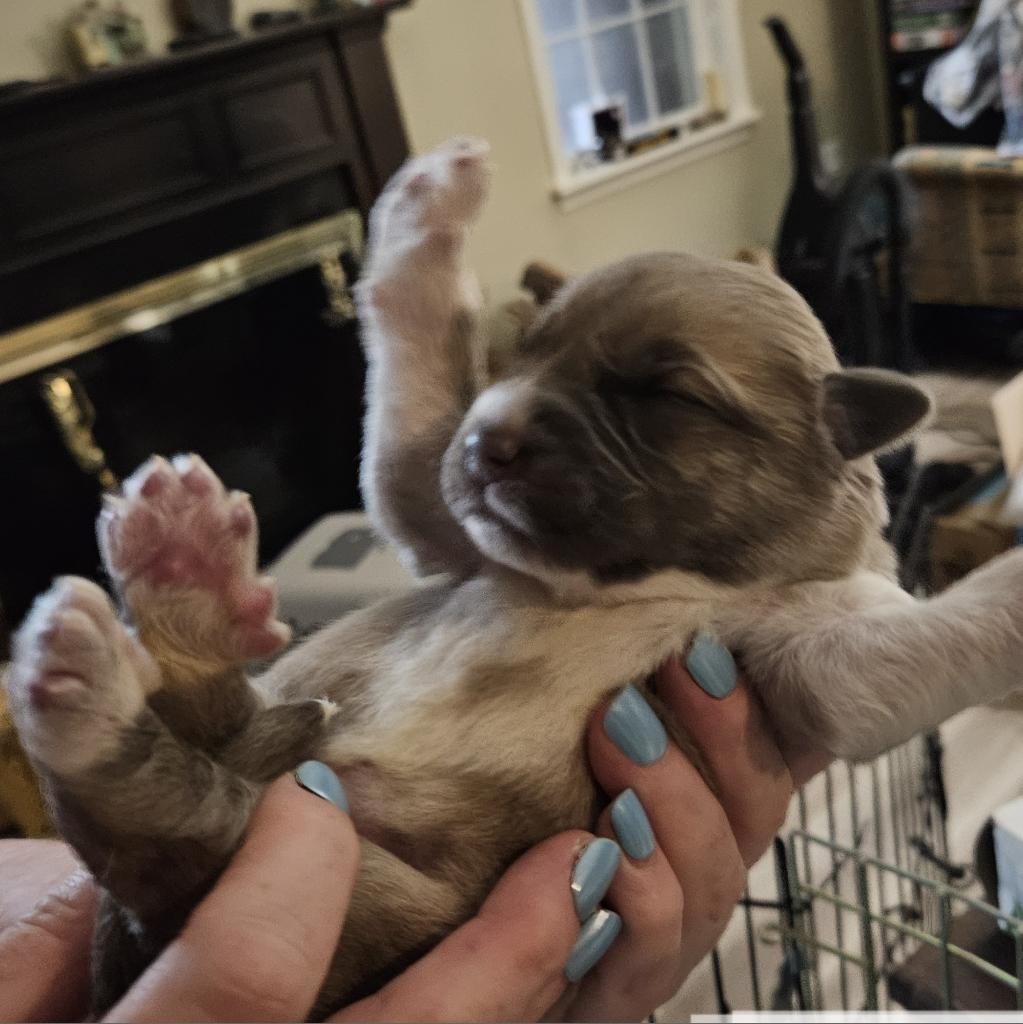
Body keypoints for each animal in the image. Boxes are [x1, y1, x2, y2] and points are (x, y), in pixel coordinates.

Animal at [6, 138, 1023, 1015]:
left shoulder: (818, 661)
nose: (488, 438)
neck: (625, 584)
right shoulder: (437, 515)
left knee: (178, 832)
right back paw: (173, 584)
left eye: (668, 395)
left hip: (365, 908)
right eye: (522, 353)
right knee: (170, 812)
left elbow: (942, 630)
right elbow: (417, 373)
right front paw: (424, 208)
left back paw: (146, 623)